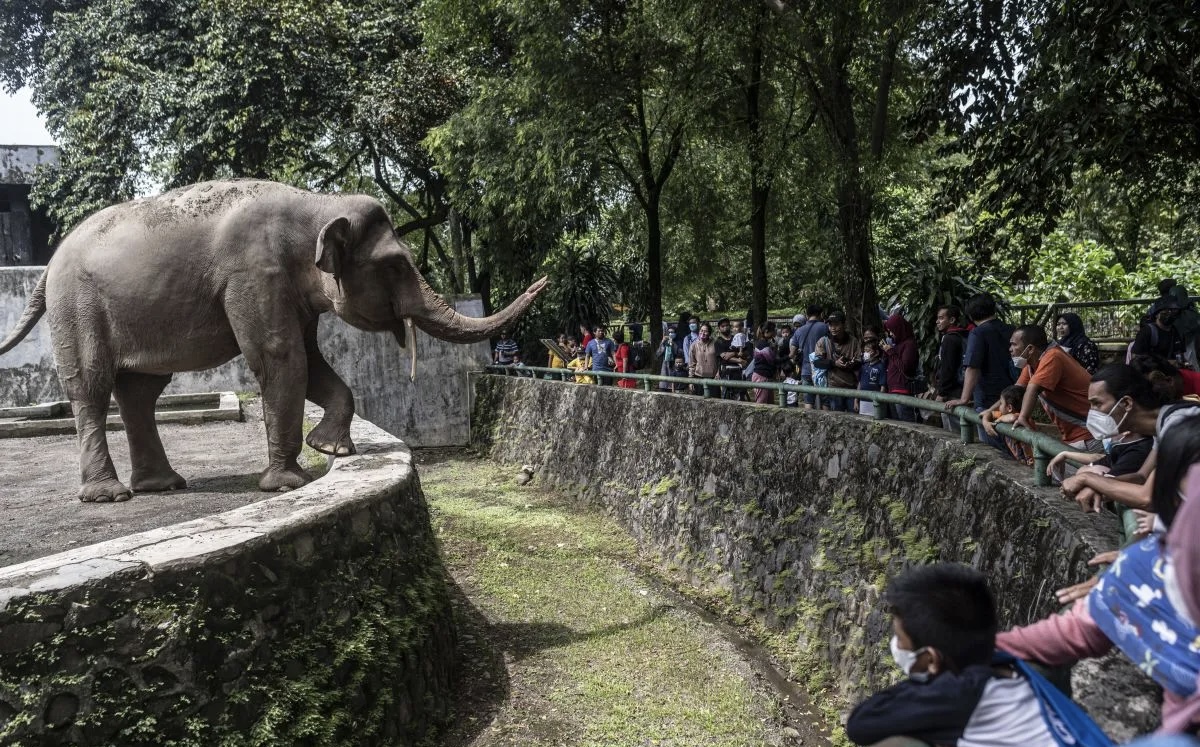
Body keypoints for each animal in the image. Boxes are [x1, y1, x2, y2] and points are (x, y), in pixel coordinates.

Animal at [0, 180, 549, 504]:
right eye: (395, 265)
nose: (543, 281)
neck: (315, 204)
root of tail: (48, 266)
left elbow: (311, 361)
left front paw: (331, 449)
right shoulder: (254, 275)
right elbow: (282, 360)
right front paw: (290, 483)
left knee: (140, 391)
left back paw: (163, 486)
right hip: (78, 309)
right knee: (92, 388)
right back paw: (109, 495)